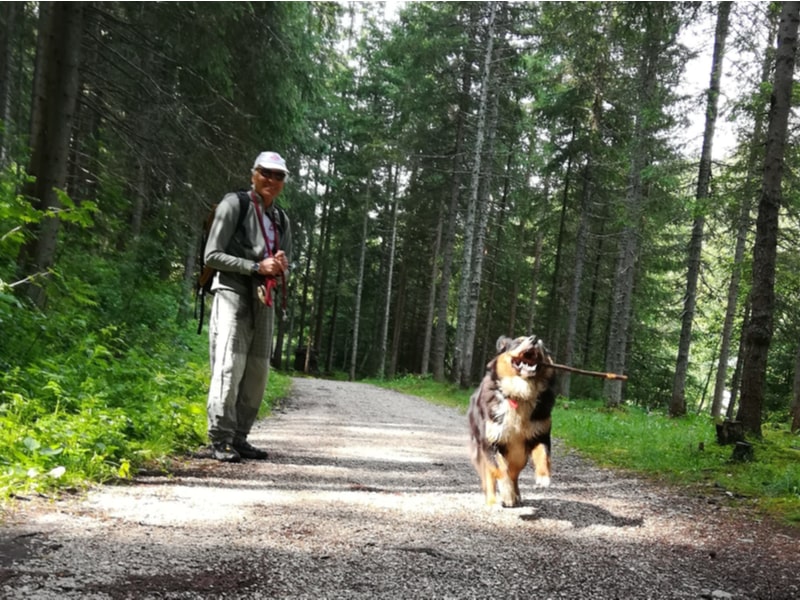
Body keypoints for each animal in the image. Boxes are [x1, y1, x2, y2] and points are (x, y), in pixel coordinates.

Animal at [468, 332, 556, 506]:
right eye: (518, 342)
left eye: (542, 345)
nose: (534, 338)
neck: (520, 394)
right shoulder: (490, 441)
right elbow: (500, 470)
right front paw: (506, 493)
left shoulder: (540, 434)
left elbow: (543, 455)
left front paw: (543, 477)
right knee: (491, 476)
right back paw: (493, 501)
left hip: (519, 454)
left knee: (514, 473)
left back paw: (516, 495)